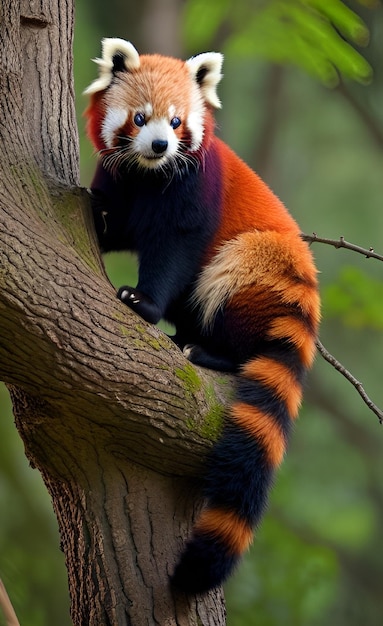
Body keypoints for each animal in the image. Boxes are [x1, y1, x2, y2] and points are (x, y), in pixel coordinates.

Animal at [84, 36, 320, 592]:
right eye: (140, 118)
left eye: (176, 123)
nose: (158, 147)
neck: (149, 177)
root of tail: (306, 298)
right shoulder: (121, 179)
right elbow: (113, 221)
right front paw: (93, 211)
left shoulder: (194, 189)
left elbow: (175, 247)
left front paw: (143, 303)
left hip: (252, 266)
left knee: (227, 303)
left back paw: (207, 351)